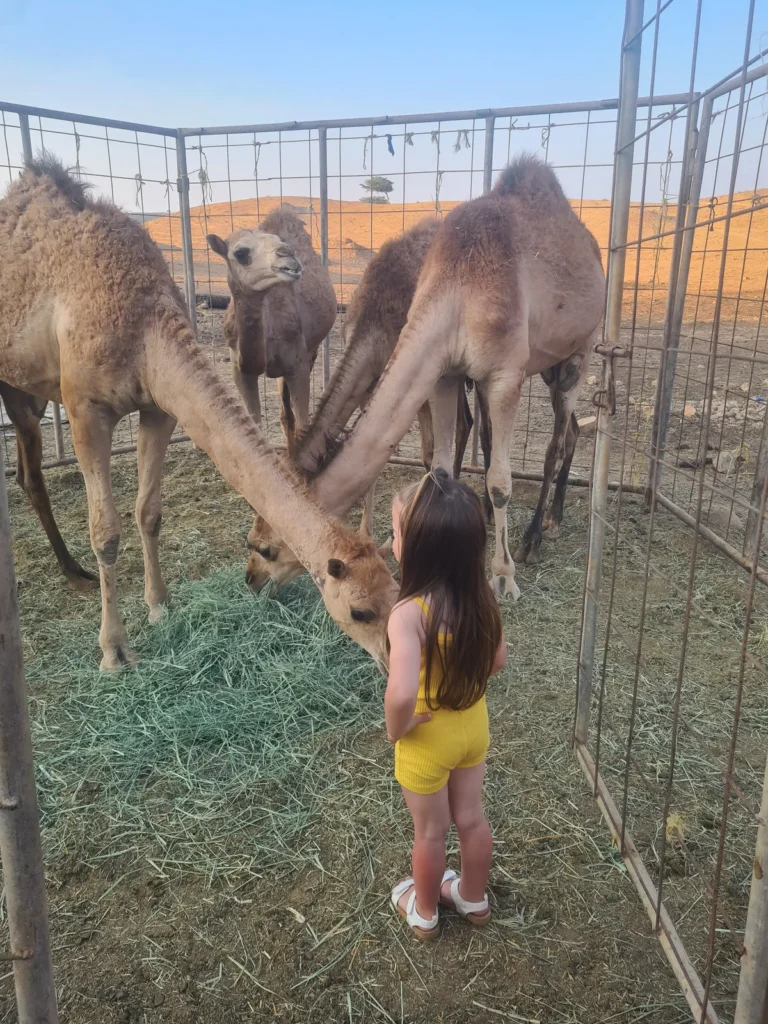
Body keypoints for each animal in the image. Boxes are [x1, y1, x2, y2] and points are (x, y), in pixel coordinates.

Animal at [206, 210, 336, 446]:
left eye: (279, 240)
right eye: (240, 253)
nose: (288, 255)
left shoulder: (298, 364)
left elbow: (303, 425)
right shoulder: (240, 370)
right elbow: (255, 425)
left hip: (310, 351)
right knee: (285, 414)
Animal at [246, 161, 604, 598]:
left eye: (267, 547)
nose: (250, 578)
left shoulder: (503, 375)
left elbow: (499, 480)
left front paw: (502, 575)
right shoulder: (438, 374)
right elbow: (435, 467)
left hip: (580, 349)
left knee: (555, 440)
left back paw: (535, 536)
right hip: (544, 367)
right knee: (563, 430)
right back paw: (548, 518)